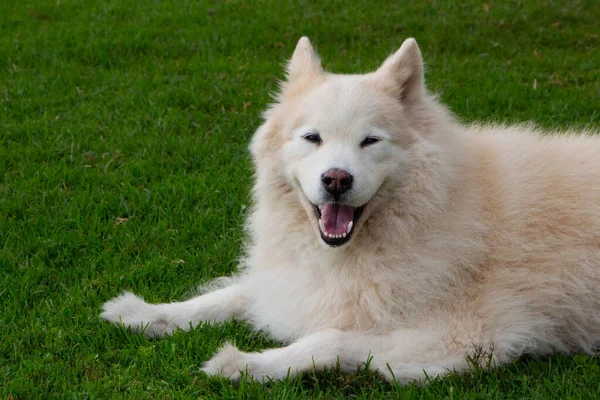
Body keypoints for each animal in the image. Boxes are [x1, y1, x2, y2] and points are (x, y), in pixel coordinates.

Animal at [101, 37, 600, 384]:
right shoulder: (299, 285)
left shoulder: (459, 339)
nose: (336, 179)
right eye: (312, 138)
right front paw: (142, 313)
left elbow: (328, 340)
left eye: (370, 141)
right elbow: (226, 297)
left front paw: (245, 364)